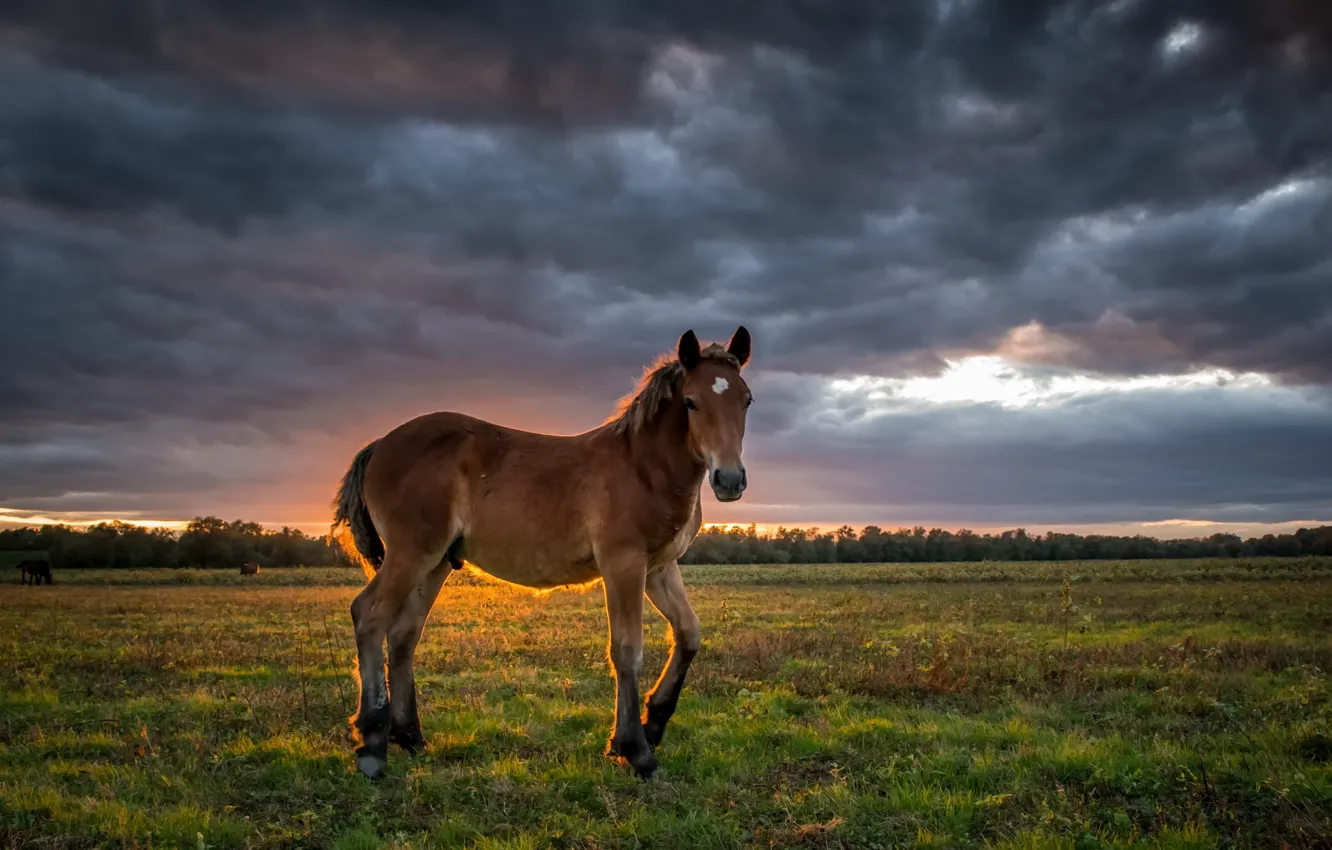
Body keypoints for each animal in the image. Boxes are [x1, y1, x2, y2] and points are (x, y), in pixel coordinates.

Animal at [330, 326, 754, 781]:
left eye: (746, 400)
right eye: (691, 402)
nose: (729, 480)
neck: (643, 467)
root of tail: (379, 444)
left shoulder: (659, 567)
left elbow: (689, 634)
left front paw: (652, 724)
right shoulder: (623, 563)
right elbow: (627, 649)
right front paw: (636, 750)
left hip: (437, 563)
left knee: (404, 633)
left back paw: (410, 737)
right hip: (411, 553)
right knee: (370, 616)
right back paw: (372, 745)